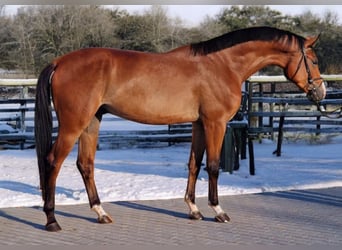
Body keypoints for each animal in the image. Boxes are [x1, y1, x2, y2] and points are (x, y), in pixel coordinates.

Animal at [34, 26, 326, 231]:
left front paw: (194, 209)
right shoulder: (215, 122)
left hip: (91, 122)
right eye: (312, 60)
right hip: (73, 125)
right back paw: (52, 220)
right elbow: (213, 165)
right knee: (52, 161)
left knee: (85, 164)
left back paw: (101, 213)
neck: (222, 65)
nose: (320, 92)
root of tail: (59, 62)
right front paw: (218, 211)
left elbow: (194, 164)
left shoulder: (199, 124)